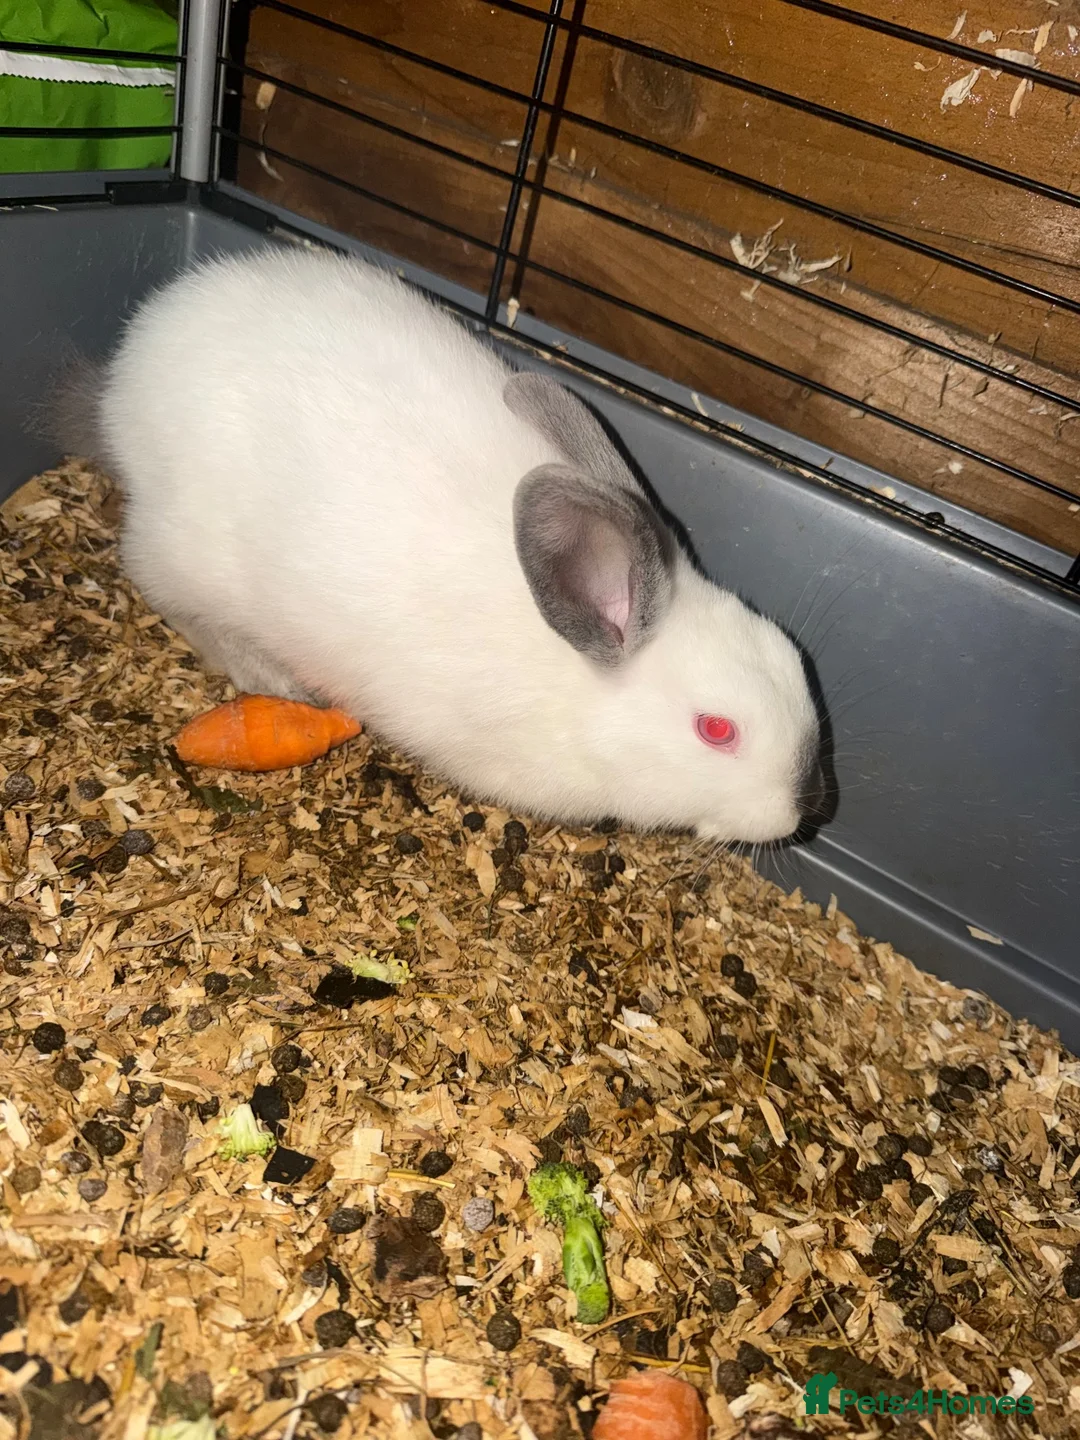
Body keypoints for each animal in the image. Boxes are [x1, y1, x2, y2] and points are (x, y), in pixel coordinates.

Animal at [69, 246, 823, 843]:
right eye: (717, 730)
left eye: (794, 662)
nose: (793, 816)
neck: (581, 682)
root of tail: (134, 367)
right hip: (187, 553)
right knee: (163, 589)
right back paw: (267, 673)